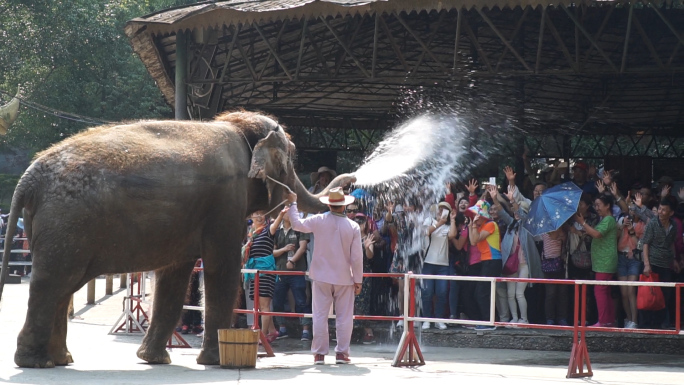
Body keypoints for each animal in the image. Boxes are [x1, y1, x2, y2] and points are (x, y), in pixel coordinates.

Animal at [0, 109, 352, 368]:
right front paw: (214, 361)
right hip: (66, 223)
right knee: (53, 283)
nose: (350, 180)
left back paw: (60, 360)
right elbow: (221, 268)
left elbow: (175, 275)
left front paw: (153, 360)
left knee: (63, 286)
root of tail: (29, 176)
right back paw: (35, 363)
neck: (239, 127)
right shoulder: (226, 201)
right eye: (291, 161)